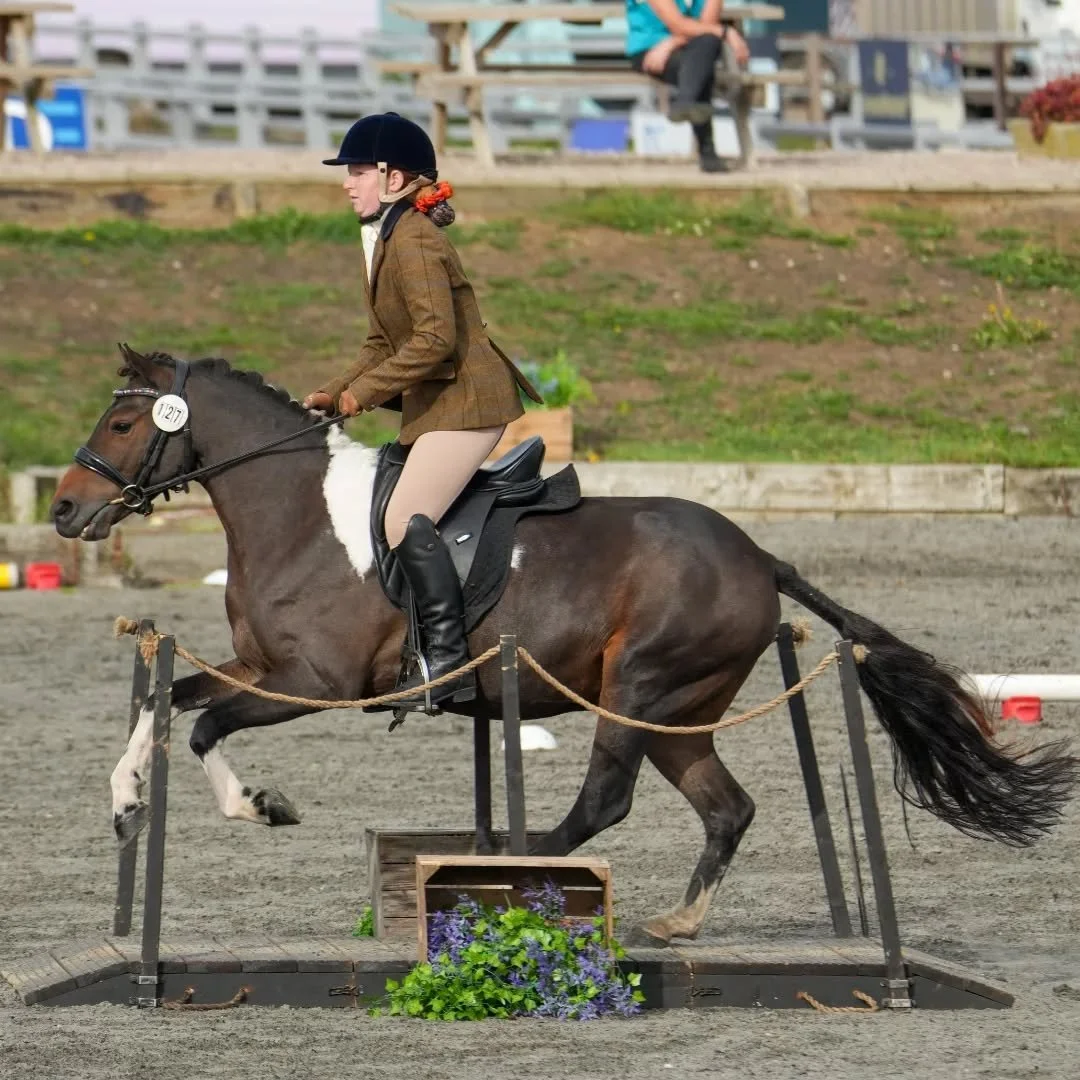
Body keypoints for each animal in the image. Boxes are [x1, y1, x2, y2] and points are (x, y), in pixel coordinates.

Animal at [51, 347, 1079, 945]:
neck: (298, 512)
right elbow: (170, 703)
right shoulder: (264, 670)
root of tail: (759, 555)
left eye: (123, 422)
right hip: (679, 714)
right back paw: (676, 920)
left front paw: (259, 805)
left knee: (603, 801)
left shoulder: (316, 681)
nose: (63, 509)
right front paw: (126, 803)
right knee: (727, 808)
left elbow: (204, 727)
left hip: (638, 687)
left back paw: (509, 872)